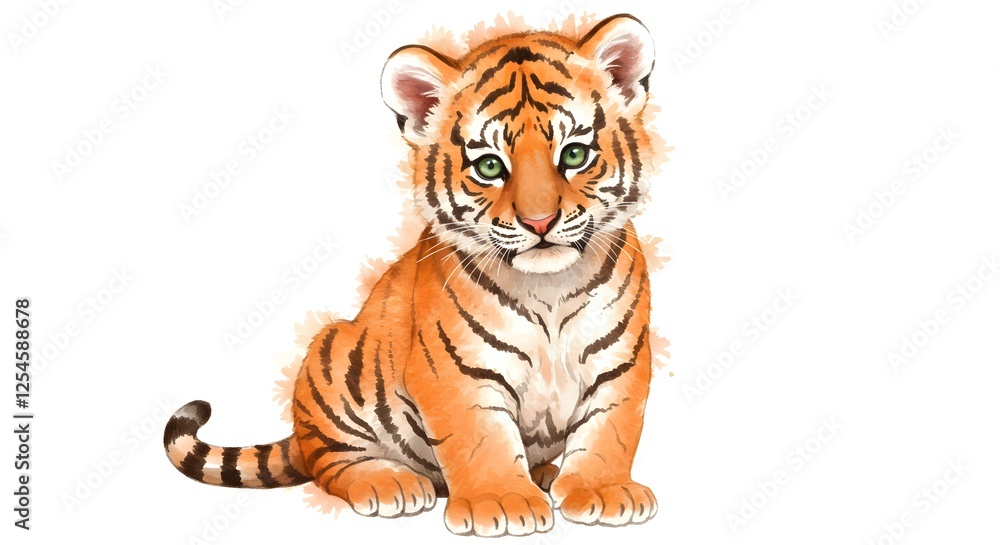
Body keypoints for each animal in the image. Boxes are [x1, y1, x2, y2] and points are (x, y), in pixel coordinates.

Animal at [164, 13, 664, 537]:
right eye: (490, 166)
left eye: (573, 155)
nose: (539, 222)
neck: (548, 288)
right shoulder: (456, 372)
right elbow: (480, 439)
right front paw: (503, 501)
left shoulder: (622, 360)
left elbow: (611, 429)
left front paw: (603, 491)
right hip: (330, 360)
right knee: (332, 463)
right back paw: (391, 483)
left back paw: (545, 473)